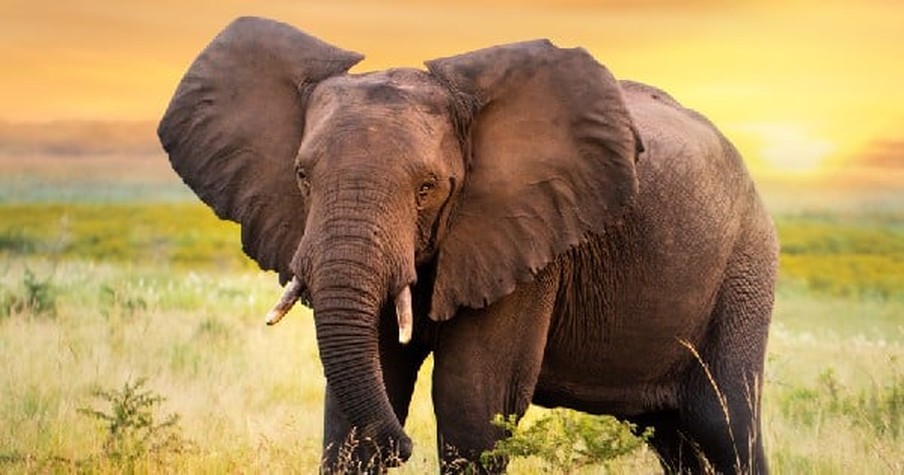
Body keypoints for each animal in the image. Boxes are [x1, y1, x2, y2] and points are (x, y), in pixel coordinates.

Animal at [159, 17, 777, 474]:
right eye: (302, 176)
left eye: (428, 188)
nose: (403, 448)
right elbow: (362, 392)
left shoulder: (529, 240)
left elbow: (471, 404)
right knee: (674, 436)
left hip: (745, 270)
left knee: (727, 425)